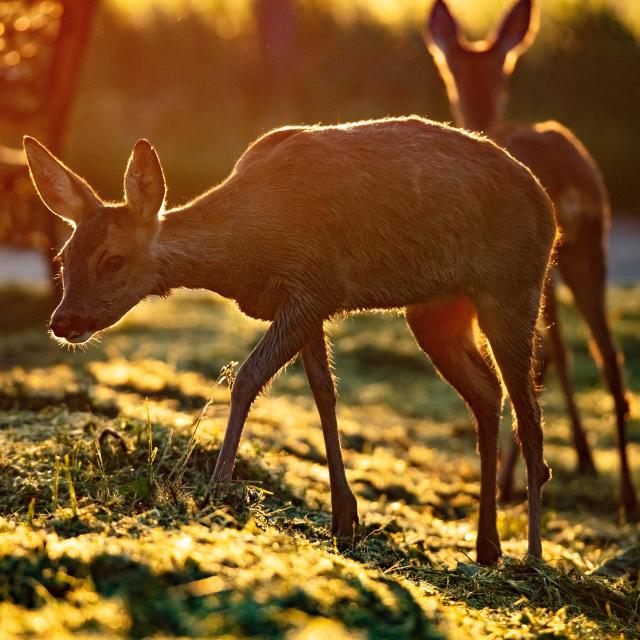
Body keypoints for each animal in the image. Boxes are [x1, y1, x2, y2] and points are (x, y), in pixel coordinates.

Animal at [23, 116, 556, 564]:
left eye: (112, 260)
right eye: (64, 256)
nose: (63, 321)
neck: (247, 248)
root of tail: (546, 205)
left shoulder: (314, 285)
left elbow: (247, 378)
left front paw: (217, 490)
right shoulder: (310, 301)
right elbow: (324, 392)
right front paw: (345, 517)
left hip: (514, 284)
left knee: (530, 412)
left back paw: (532, 556)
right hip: (436, 310)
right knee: (487, 392)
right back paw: (487, 546)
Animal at [422, 0, 636, 520]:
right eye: (456, 71)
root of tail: (570, 181)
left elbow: (548, 351)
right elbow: (562, 350)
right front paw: (583, 456)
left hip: (526, 263)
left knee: (542, 355)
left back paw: (506, 483)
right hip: (586, 248)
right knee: (607, 355)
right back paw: (626, 497)